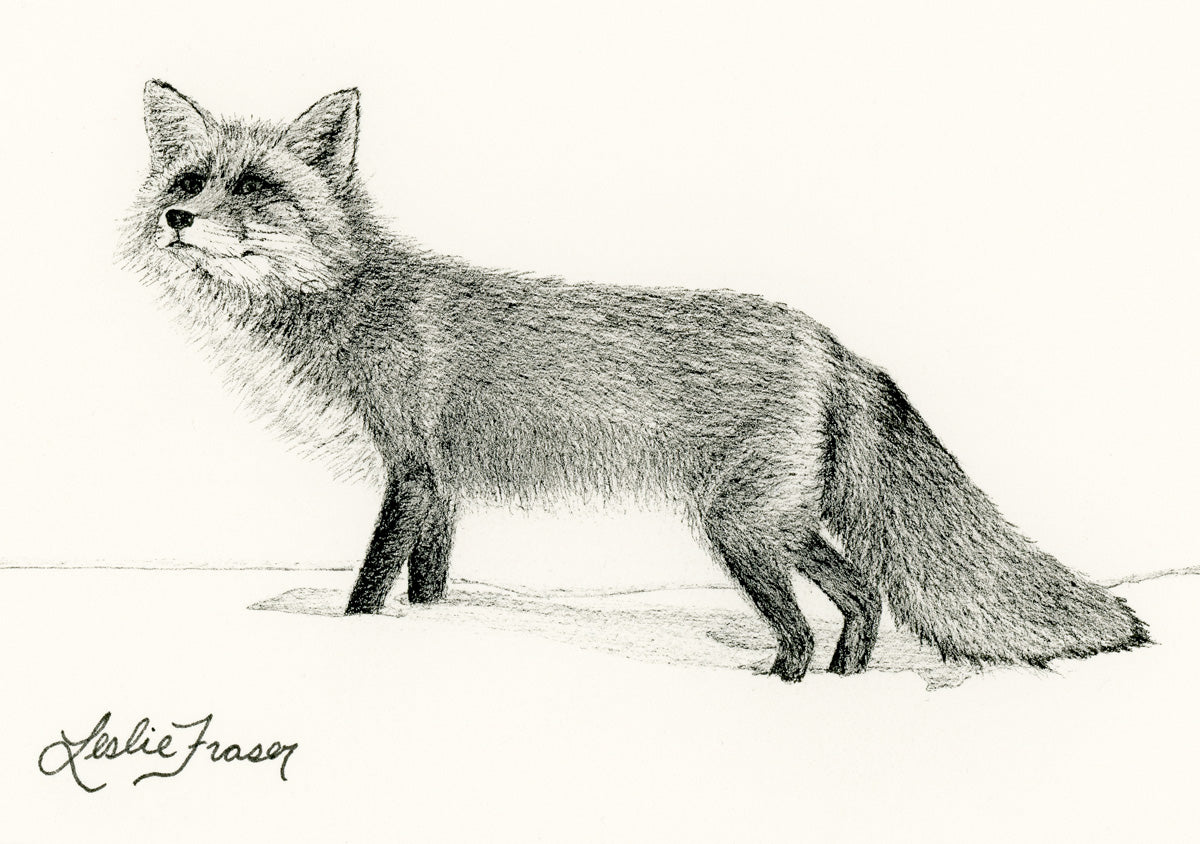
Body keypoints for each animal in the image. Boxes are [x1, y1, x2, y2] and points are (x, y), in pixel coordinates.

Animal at [123, 80, 1149, 682]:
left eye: (256, 188)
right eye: (189, 179)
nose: (177, 218)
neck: (340, 302)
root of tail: (829, 339)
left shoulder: (408, 469)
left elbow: (372, 582)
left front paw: (354, 641)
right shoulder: (439, 484)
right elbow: (430, 581)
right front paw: (432, 629)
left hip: (738, 529)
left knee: (805, 622)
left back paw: (785, 687)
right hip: (777, 522)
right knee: (863, 591)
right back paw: (848, 677)